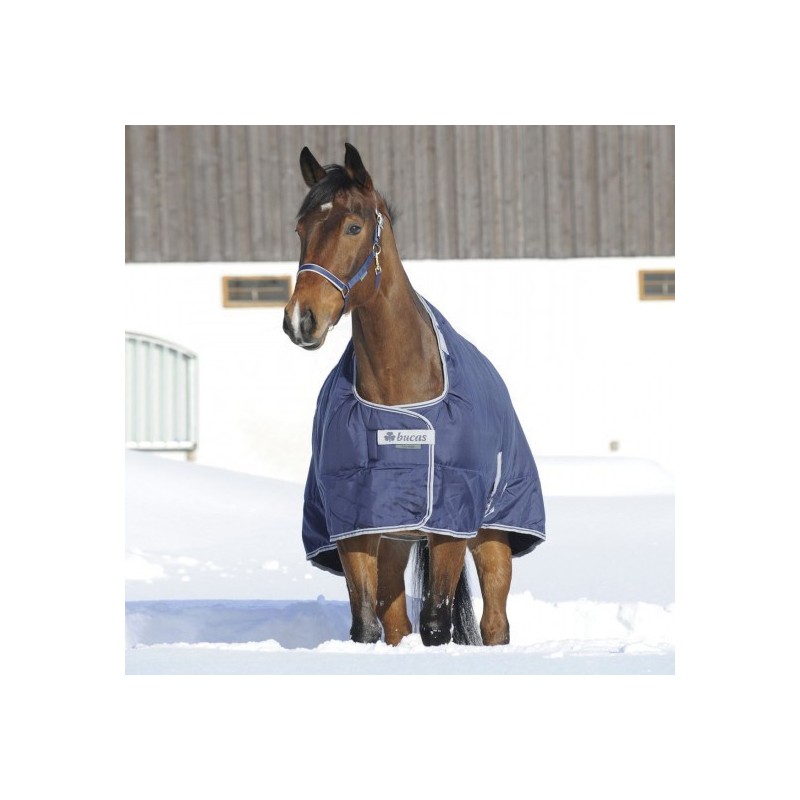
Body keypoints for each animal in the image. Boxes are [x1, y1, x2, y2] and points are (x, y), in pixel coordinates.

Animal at [283, 143, 545, 646]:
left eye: (353, 226)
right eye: (300, 229)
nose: (301, 320)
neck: (401, 400)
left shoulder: (450, 525)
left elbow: (437, 624)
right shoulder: (356, 527)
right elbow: (366, 625)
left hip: (492, 537)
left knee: (494, 623)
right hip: (394, 543)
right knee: (396, 623)